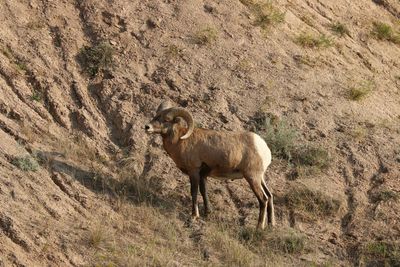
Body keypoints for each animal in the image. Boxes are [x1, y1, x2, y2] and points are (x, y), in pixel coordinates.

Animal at [145, 101, 276, 229]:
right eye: (156, 116)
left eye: (166, 119)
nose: (147, 127)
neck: (181, 140)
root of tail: (263, 148)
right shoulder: (203, 175)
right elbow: (204, 192)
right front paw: (207, 213)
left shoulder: (194, 172)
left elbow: (194, 192)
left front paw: (194, 215)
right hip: (260, 178)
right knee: (269, 196)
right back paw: (271, 224)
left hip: (252, 177)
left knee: (263, 199)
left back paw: (259, 227)